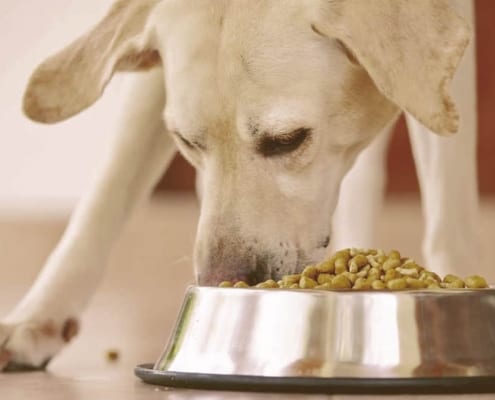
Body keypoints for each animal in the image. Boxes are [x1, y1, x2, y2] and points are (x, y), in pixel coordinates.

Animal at [0, 0, 478, 370]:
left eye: (288, 139)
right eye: (187, 141)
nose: (219, 281)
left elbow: (448, 208)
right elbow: (107, 191)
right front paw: (38, 316)